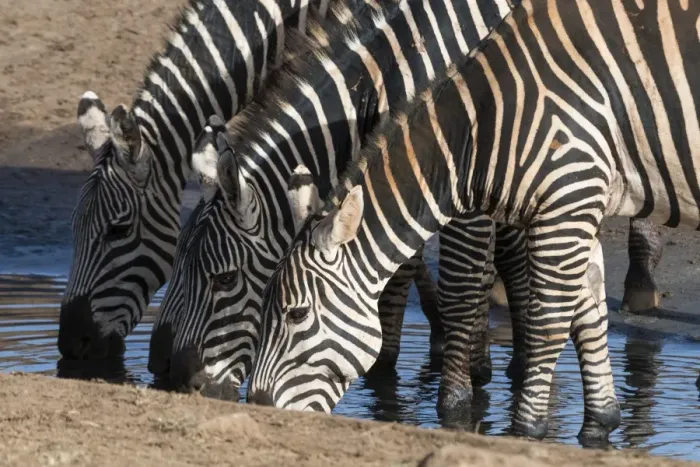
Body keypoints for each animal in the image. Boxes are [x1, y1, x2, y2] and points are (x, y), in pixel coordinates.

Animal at [150, 0, 519, 408]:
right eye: (175, 261)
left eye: (226, 279)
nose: (174, 377)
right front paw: (385, 375)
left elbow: (461, 284)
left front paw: (456, 397)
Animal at [247, 0, 700, 443]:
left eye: (296, 314)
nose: (255, 408)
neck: (486, 124)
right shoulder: (581, 202)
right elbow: (588, 312)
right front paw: (599, 422)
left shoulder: (566, 195)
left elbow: (544, 321)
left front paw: (522, 429)